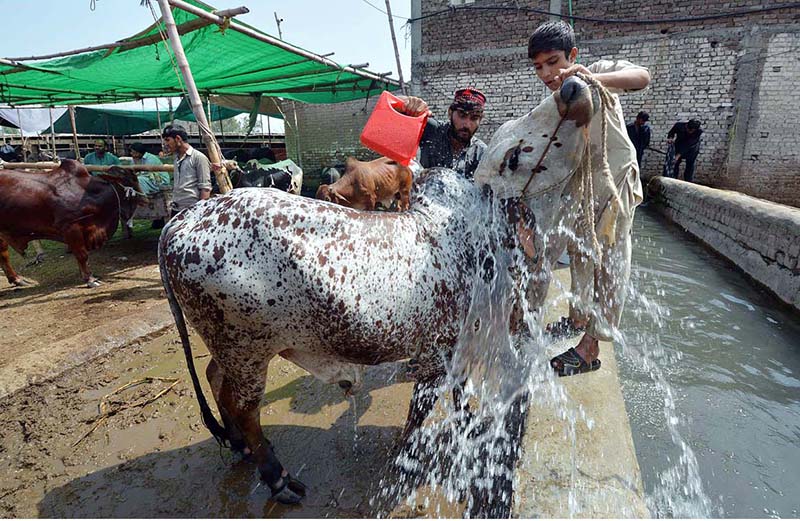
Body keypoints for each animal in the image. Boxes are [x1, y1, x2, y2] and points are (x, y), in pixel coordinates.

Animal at [0, 159, 144, 286]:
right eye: (133, 179)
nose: (145, 198)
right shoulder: (71, 228)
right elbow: (82, 255)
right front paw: (90, 279)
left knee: (4, 255)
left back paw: (18, 280)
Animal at [159, 77, 596, 504]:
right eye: (515, 156)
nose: (572, 87)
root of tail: (182, 221)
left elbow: (459, 395)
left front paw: (466, 422)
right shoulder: (440, 349)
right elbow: (422, 409)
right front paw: (411, 453)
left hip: (230, 348)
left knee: (216, 379)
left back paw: (240, 446)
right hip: (247, 350)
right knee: (244, 407)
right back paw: (277, 478)